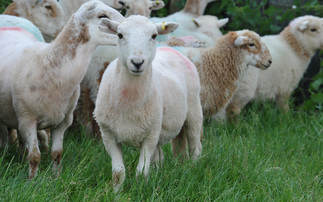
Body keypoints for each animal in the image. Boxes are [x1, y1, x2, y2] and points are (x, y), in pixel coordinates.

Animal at [0, 0, 125, 180]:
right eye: (102, 16)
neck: (49, 63)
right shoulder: (27, 120)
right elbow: (35, 157)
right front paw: (32, 181)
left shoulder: (63, 121)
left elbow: (57, 153)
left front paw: (56, 178)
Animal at [95, 15, 204, 192]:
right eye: (119, 35)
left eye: (153, 36)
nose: (137, 62)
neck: (129, 100)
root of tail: (170, 48)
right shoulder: (108, 134)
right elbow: (118, 172)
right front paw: (116, 193)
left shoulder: (150, 136)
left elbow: (141, 172)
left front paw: (140, 191)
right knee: (167, 154)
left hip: (194, 111)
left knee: (196, 146)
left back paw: (194, 170)